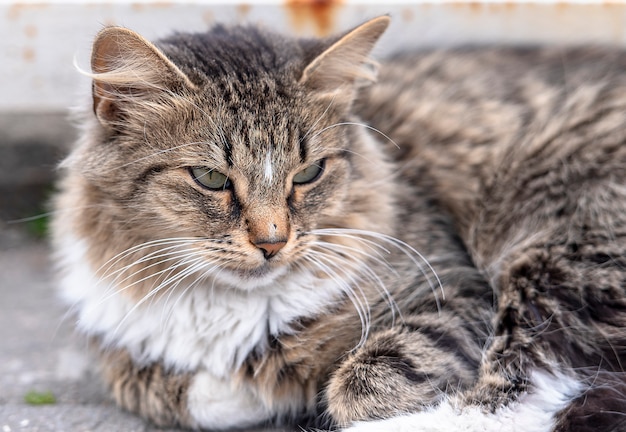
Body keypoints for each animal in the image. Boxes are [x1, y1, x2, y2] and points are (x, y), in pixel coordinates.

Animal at [50, 14, 626, 432]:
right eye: (210, 178)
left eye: (309, 173)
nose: (272, 242)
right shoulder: (120, 345)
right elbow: (167, 389)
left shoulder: (454, 291)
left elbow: (359, 384)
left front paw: (295, 388)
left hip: (550, 247)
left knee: (517, 391)